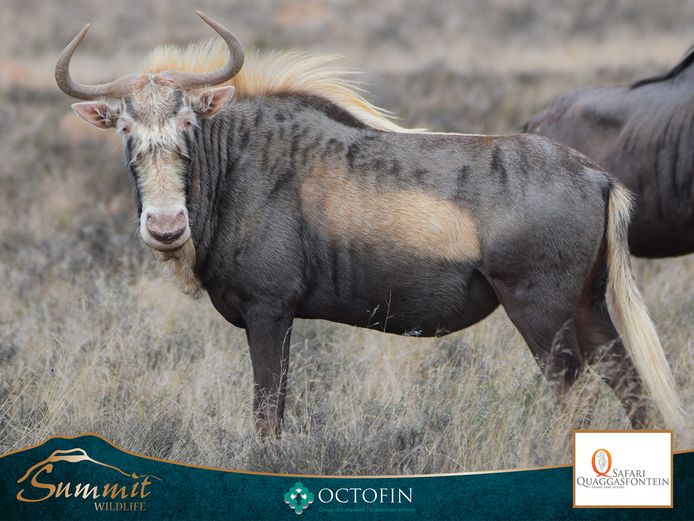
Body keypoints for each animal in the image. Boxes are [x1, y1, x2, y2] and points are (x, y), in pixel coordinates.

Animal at [56, 12, 683, 436]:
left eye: (188, 122)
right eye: (125, 129)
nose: (166, 228)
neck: (237, 159)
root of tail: (597, 177)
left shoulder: (269, 313)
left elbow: (268, 416)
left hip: (542, 312)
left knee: (575, 399)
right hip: (588, 306)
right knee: (634, 390)